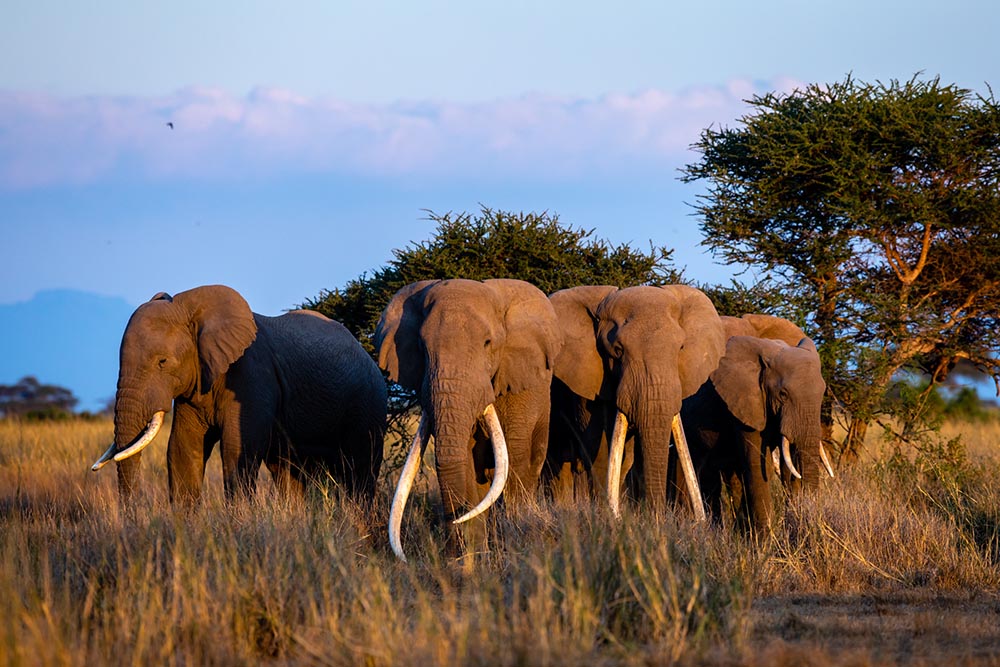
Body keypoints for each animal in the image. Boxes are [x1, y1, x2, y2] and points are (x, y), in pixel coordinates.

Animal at [91, 284, 386, 508]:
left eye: (162, 362)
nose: (131, 515)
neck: (190, 307)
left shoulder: (252, 377)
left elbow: (237, 449)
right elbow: (183, 448)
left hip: (368, 404)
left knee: (361, 473)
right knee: (289, 474)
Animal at [376, 280, 564, 560]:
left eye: (487, 343)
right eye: (421, 347)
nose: (454, 519)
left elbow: (514, 456)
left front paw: (514, 547)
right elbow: (464, 459)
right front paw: (470, 559)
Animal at [540, 284, 728, 520]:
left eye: (680, 349)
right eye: (618, 351)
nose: (657, 518)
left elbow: (627, 456)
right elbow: (598, 447)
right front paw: (607, 515)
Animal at [680, 314, 836, 536]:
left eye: (823, 392)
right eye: (783, 394)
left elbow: (787, 466)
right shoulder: (746, 398)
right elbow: (758, 464)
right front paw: (765, 540)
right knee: (706, 473)